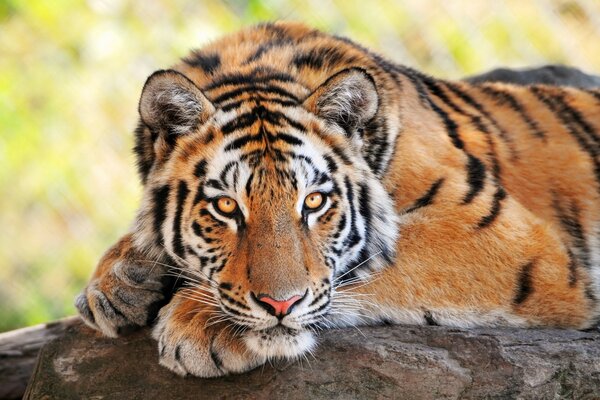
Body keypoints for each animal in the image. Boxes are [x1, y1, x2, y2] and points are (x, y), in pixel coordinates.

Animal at [75, 21, 600, 378]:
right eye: (226, 207)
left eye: (313, 203)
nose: (280, 305)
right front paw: (118, 282)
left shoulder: (507, 238)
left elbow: (367, 264)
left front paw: (198, 323)